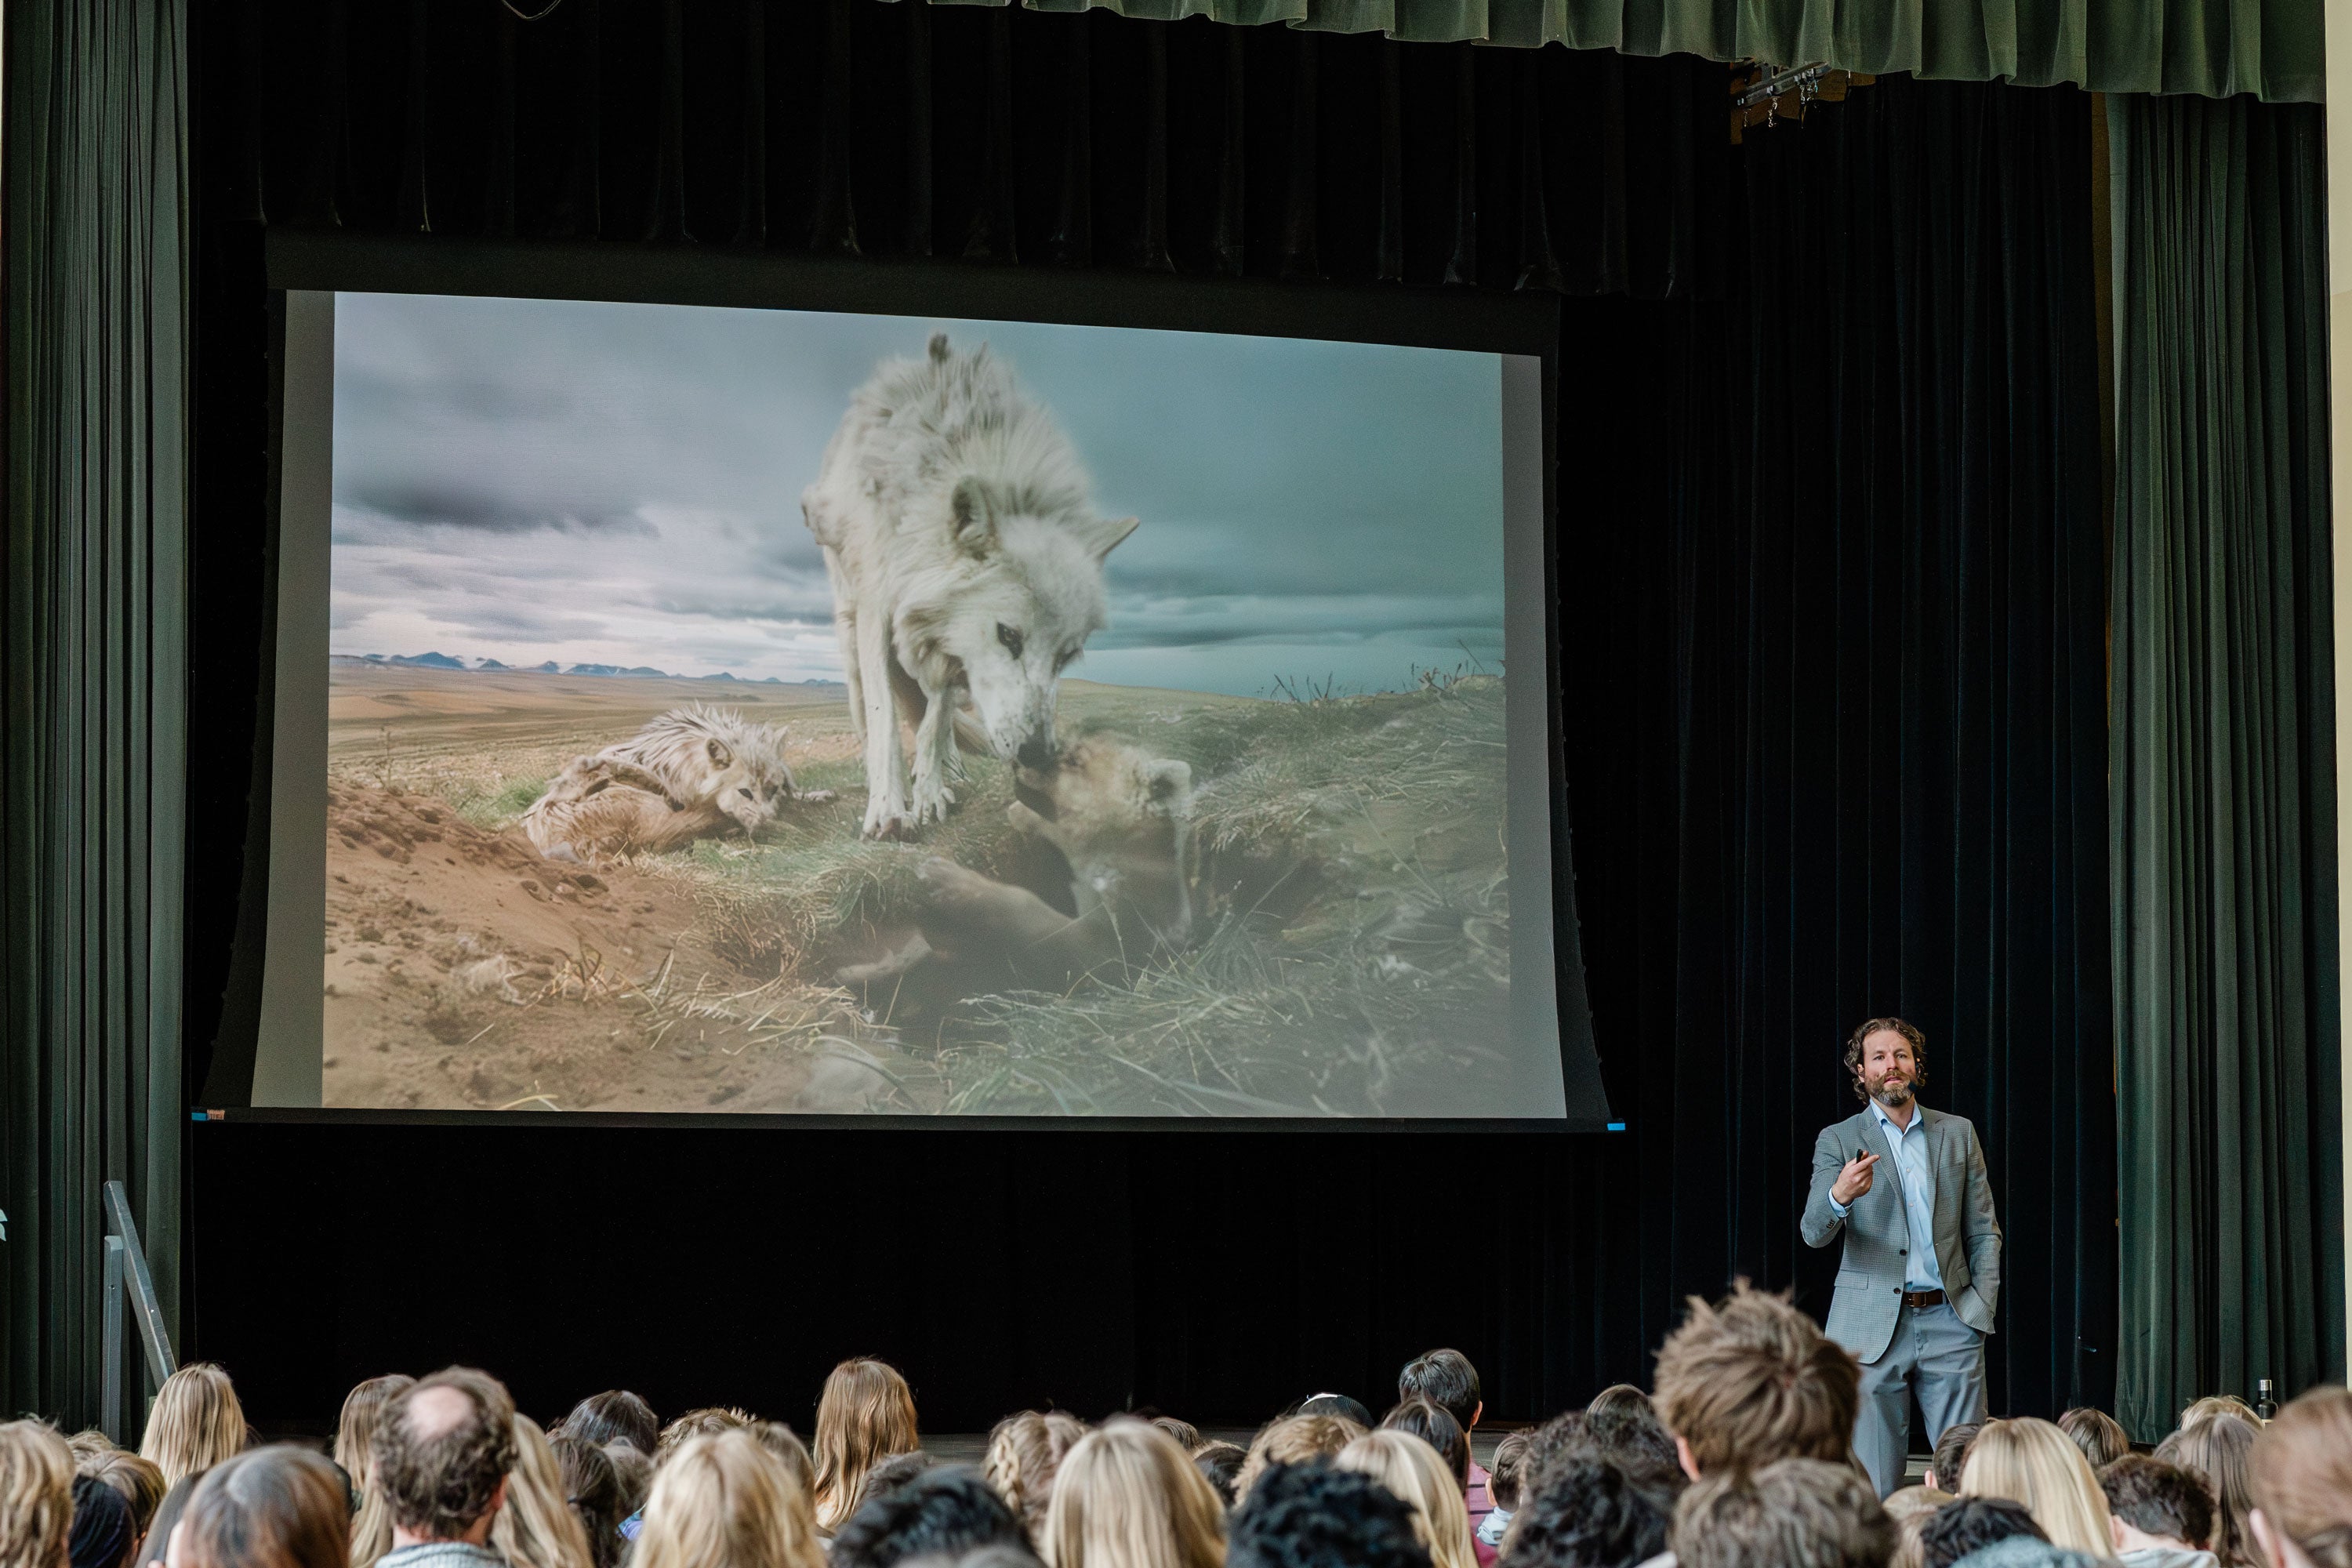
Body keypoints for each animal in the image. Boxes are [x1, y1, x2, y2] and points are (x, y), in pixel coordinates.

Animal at [804, 336, 1143, 841]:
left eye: (1065, 657)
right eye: (1009, 636)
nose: (1039, 755)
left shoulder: (947, 642)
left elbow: (935, 718)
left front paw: (928, 792)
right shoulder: (880, 606)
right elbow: (885, 720)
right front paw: (889, 809)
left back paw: (945, 773)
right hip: (847, 627)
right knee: (865, 710)